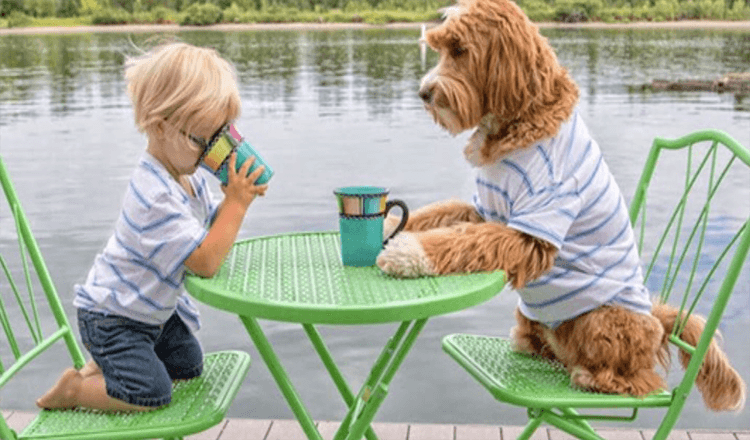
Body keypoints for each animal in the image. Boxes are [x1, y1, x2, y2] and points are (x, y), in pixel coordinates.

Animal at [378, 0, 748, 410]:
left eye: (459, 50)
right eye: (440, 49)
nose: (423, 92)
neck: (521, 121)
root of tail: (658, 319)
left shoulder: (533, 228)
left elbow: (464, 240)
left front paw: (408, 253)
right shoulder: (483, 209)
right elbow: (440, 214)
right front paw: (389, 226)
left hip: (601, 320)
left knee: (641, 379)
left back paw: (593, 377)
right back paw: (533, 344)